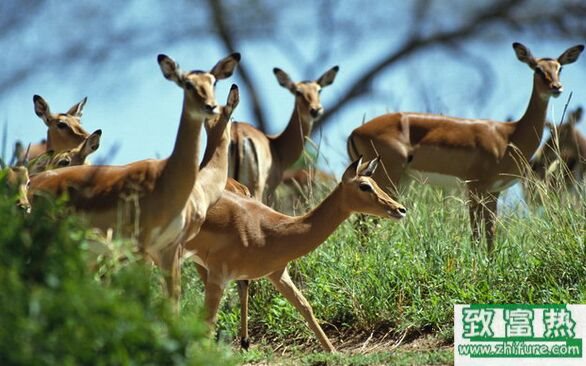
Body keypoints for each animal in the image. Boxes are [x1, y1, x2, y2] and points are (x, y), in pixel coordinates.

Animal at [186, 157, 406, 352]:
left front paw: (333, 351)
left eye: (375, 183)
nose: (400, 209)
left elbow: (305, 306)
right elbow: (208, 322)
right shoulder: (218, 275)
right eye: (364, 186)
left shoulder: (278, 274)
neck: (267, 230)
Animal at [228, 65, 338, 203]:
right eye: (298, 92)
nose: (316, 110)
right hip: (256, 190)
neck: (276, 146)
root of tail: (237, 135)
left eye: (319, 90)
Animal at [346, 43, 580, 253]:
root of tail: (356, 131)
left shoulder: (493, 192)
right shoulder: (475, 188)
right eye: (538, 69)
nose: (556, 87)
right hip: (386, 180)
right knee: (361, 221)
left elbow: (490, 233)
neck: (509, 135)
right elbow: (475, 232)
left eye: (559, 67)